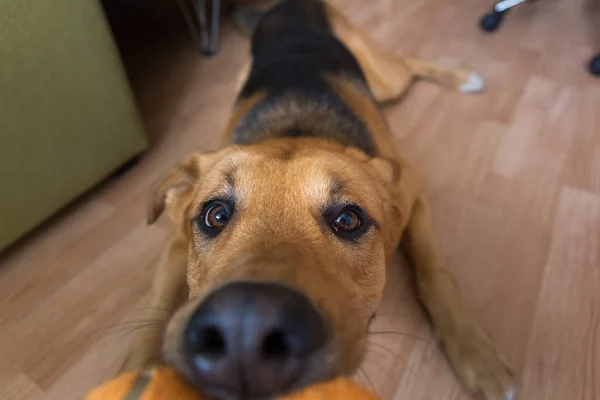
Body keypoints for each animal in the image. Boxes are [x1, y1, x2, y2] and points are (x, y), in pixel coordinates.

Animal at [124, 0, 512, 400]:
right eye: (214, 215)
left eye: (348, 220)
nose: (244, 334)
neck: (297, 128)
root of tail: (288, 5)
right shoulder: (176, 244)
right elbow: (154, 313)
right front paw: (141, 372)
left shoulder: (413, 189)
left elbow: (435, 272)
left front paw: (477, 355)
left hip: (385, 79)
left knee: (407, 63)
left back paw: (464, 78)